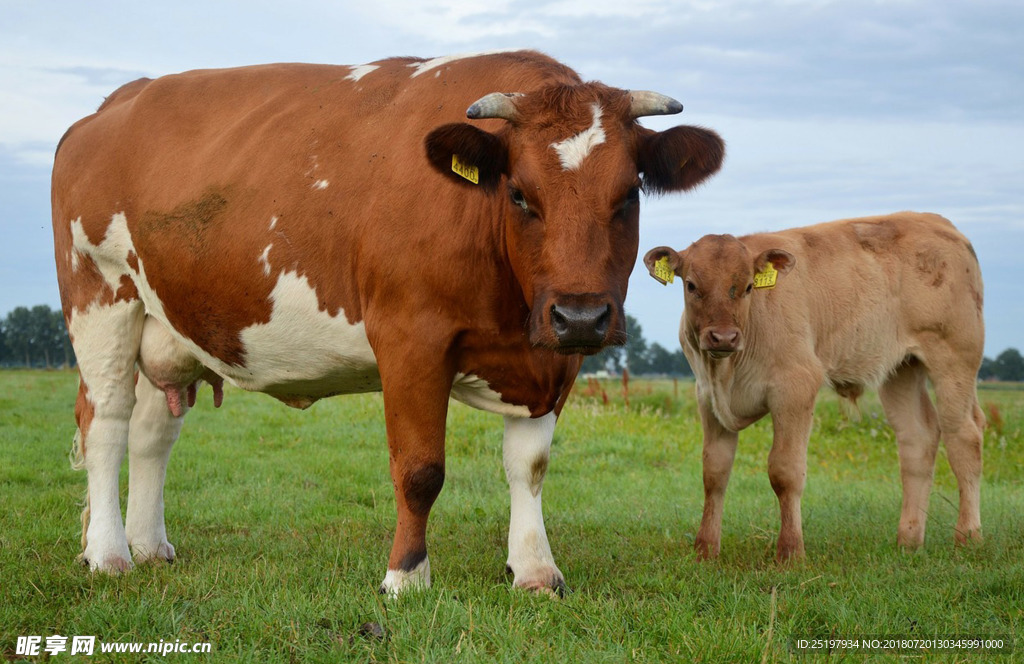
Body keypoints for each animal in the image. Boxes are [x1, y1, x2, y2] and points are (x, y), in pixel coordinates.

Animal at [51, 49, 724, 594]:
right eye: (519, 194)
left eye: (629, 194)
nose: (580, 314)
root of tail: (110, 107)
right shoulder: (411, 340)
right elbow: (420, 470)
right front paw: (406, 576)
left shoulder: (552, 359)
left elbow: (529, 467)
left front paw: (534, 570)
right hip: (101, 297)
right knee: (106, 423)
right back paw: (109, 554)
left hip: (164, 325)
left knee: (151, 432)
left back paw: (149, 546)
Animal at [643, 211, 987, 561]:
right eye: (691, 285)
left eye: (749, 286)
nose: (723, 337)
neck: (727, 370)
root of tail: (937, 221)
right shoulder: (708, 397)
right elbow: (714, 471)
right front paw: (705, 549)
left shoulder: (796, 387)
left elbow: (785, 471)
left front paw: (791, 552)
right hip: (900, 369)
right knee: (918, 439)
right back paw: (908, 539)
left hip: (954, 360)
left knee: (964, 438)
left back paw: (968, 537)